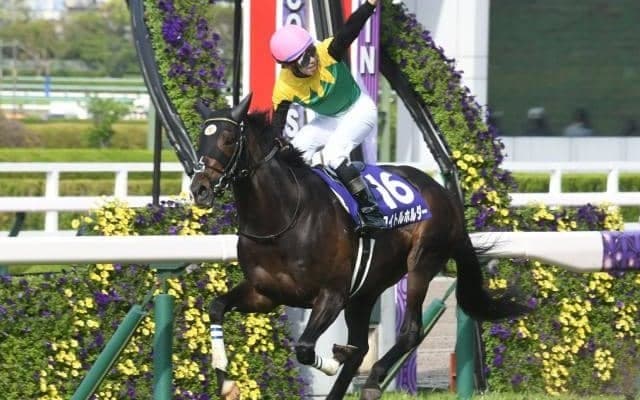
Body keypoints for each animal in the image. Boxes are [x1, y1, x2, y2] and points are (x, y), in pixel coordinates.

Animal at [189, 94, 529, 400]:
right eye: (201, 138)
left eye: (229, 139)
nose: (199, 188)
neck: (281, 220)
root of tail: (445, 195)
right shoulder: (266, 293)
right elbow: (216, 307)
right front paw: (226, 383)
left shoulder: (332, 294)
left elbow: (305, 348)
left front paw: (333, 359)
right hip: (365, 290)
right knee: (363, 344)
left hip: (422, 262)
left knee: (409, 331)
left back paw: (373, 380)